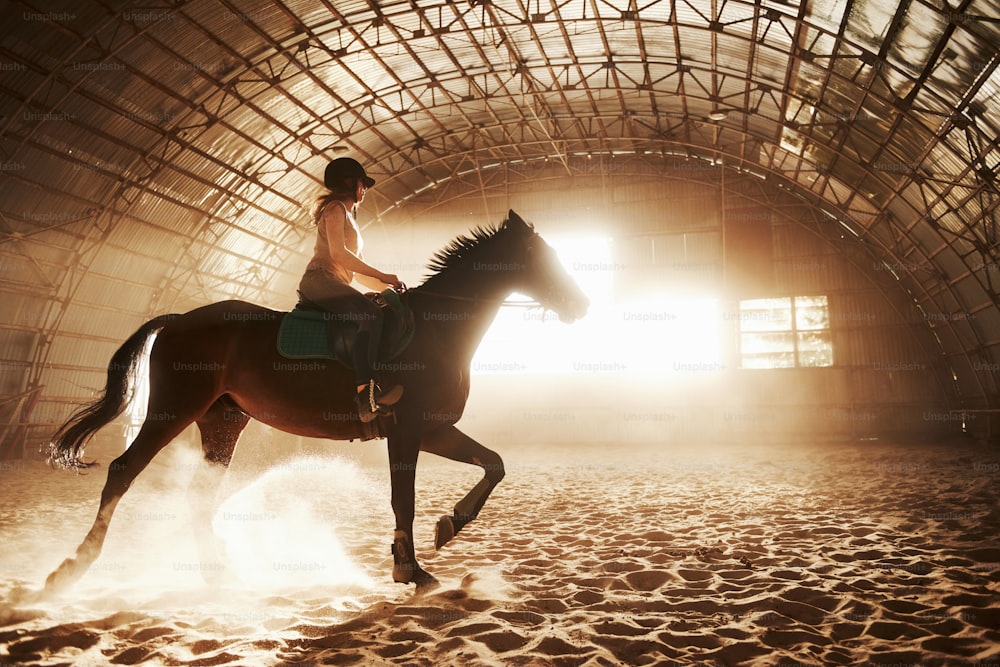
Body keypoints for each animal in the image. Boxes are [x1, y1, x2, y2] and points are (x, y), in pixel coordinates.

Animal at [43, 211, 588, 592]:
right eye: (542, 257)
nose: (581, 305)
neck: (437, 330)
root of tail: (180, 318)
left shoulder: (432, 428)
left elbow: (493, 464)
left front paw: (449, 525)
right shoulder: (407, 429)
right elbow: (403, 500)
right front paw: (410, 570)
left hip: (222, 422)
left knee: (198, 496)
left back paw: (222, 574)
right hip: (173, 410)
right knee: (123, 472)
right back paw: (68, 571)